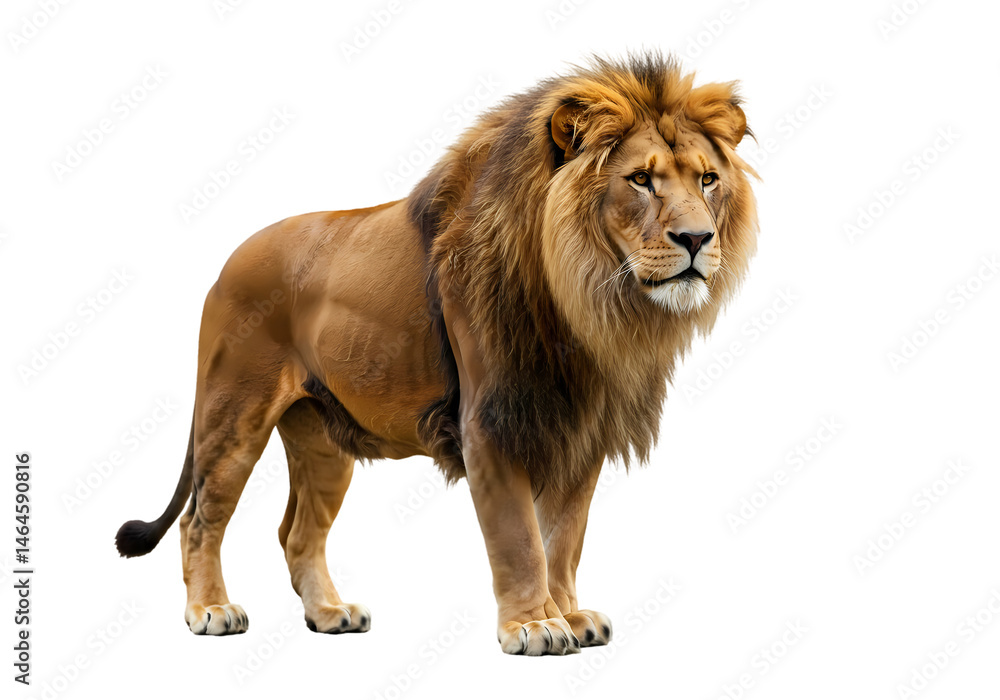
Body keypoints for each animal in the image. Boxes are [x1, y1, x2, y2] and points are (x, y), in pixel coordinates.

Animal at [116, 52, 758, 656]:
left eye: (707, 180)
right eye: (641, 180)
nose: (698, 239)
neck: (586, 298)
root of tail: (229, 260)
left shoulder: (579, 428)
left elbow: (564, 538)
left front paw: (569, 614)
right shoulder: (490, 423)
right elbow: (520, 538)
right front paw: (534, 625)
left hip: (323, 439)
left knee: (297, 533)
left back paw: (329, 613)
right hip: (233, 416)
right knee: (200, 520)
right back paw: (211, 610)